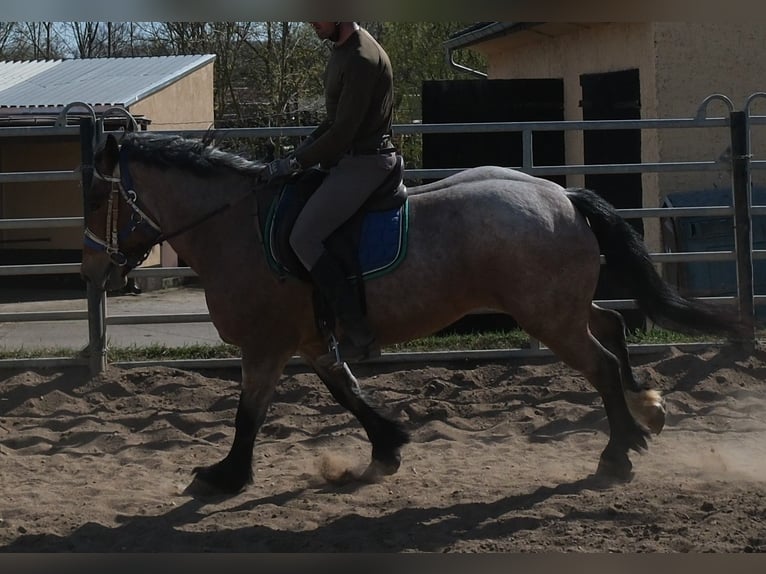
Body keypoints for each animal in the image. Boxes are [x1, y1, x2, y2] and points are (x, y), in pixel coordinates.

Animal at [80, 131, 746, 496]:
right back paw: (644, 413)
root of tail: (562, 196)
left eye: (95, 196)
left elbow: (249, 415)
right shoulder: (312, 342)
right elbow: (348, 392)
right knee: (611, 326)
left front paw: (226, 476)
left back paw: (618, 452)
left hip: (548, 317)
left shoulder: (265, 347)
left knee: (603, 362)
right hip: (561, 307)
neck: (235, 225)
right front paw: (388, 445)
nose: (91, 268)